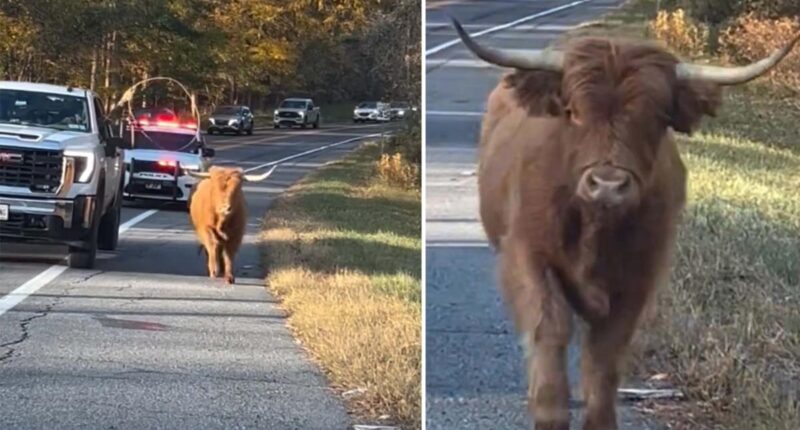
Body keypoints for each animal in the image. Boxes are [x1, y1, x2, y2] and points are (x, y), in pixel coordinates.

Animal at [451, 17, 800, 430]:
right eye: (573, 111)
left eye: (656, 118)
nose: (608, 185)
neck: (595, 230)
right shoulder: (526, 256)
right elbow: (549, 329)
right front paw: (550, 413)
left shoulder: (639, 277)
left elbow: (604, 354)